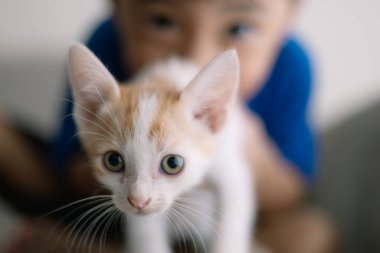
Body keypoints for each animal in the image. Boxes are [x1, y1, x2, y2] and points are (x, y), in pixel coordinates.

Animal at [68, 44, 255, 253]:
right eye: (113, 161)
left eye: (173, 163)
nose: (138, 201)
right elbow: (146, 234)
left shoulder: (226, 162)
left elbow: (233, 210)